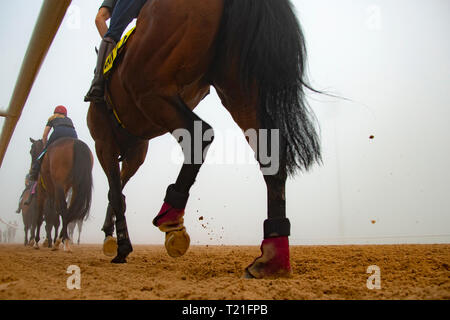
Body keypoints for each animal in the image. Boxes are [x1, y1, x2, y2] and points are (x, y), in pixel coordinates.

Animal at [87, 0, 320, 278]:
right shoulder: (134, 152)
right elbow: (117, 191)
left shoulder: (105, 145)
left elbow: (115, 193)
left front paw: (120, 245)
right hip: (238, 91)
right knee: (270, 154)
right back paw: (272, 257)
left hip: (149, 88)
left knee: (200, 133)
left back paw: (171, 216)